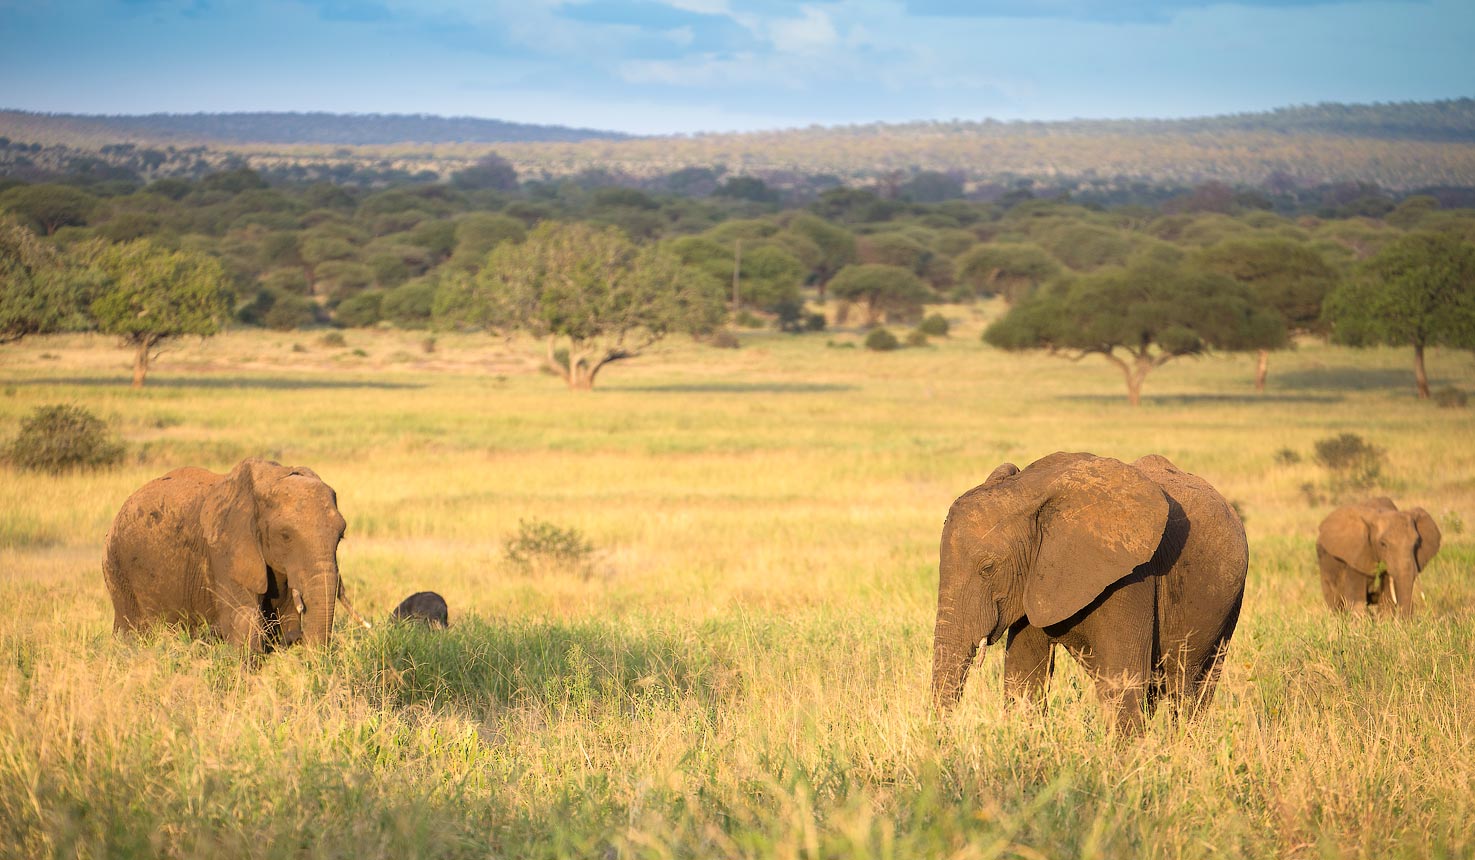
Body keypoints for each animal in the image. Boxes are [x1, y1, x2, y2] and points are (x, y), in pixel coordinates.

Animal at [103, 457, 365, 652]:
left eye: (340, 536)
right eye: (285, 536)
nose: (298, 640)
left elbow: (285, 619)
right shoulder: (225, 551)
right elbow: (244, 624)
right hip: (118, 571)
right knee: (131, 632)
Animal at [932, 451, 1244, 734]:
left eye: (987, 568)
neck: (1028, 491)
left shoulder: (1132, 577)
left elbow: (1122, 680)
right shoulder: (1034, 577)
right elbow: (1023, 678)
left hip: (1228, 607)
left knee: (1192, 689)